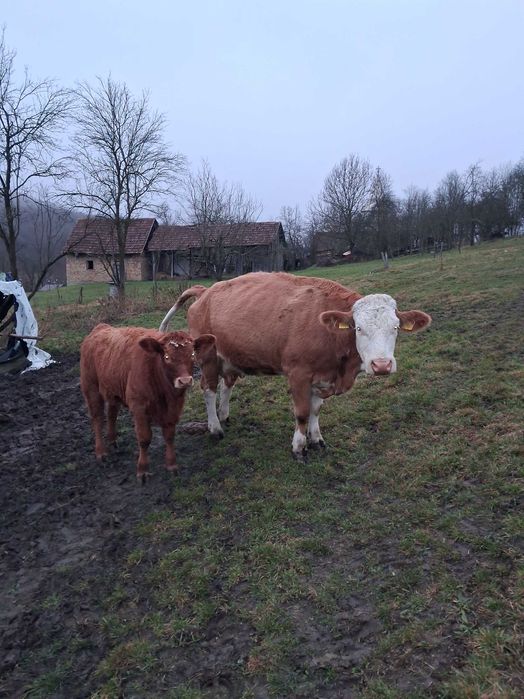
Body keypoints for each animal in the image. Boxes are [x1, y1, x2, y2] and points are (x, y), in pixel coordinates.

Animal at [80, 323, 216, 480]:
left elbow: (169, 436)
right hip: (91, 387)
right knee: (97, 418)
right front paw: (143, 470)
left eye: (193, 355)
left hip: (112, 390)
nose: (185, 381)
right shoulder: (138, 407)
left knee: (111, 414)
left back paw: (113, 440)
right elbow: (144, 438)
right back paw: (101, 452)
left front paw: (171, 465)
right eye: (167, 357)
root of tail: (101, 327)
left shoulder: (174, 407)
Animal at [159, 272, 432, 460]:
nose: (382, 365)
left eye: (395, 327)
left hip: (229, 356)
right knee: (208, 389)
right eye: (358, 328)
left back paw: (224, 415)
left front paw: (316, 439)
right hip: (208, 357)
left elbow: (316, 410)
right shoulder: (298, 373)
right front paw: (299, 447)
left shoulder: (323, 377)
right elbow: (302, 412)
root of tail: (206, 291)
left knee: (227, 384)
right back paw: (215, 427)